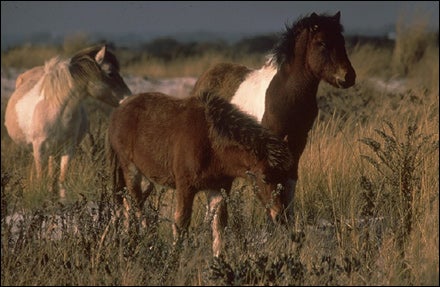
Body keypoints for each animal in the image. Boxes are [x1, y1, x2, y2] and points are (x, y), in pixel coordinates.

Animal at [4, 45, 131, 198]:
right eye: (110, 73)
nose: (128, 98)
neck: (56, 110)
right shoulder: (39, 149)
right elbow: (41, 178)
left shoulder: (68, 149)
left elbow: (62, 179)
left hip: (54, 152)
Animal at [107, 91, 292, 256]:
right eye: (265, 177)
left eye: (285, 175)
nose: (280, 217)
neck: (211, 145)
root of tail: (117, 111)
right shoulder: (185, 187)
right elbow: (181, 223)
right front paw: (175, 258)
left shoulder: (218, 189)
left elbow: (218, 227)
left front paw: (220, 262)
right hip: (130, 169)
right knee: (137, 205)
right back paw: (148, 242)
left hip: (146, 180)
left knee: (128, 203)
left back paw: (127, 239)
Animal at [191, 11, 356, 223]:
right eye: (322, 43)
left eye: (342, 41)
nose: (348, 77)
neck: (286, 94)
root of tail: (202, 81)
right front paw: (273, 218)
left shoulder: (298, 139)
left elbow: (291, 175)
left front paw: (288, 217)